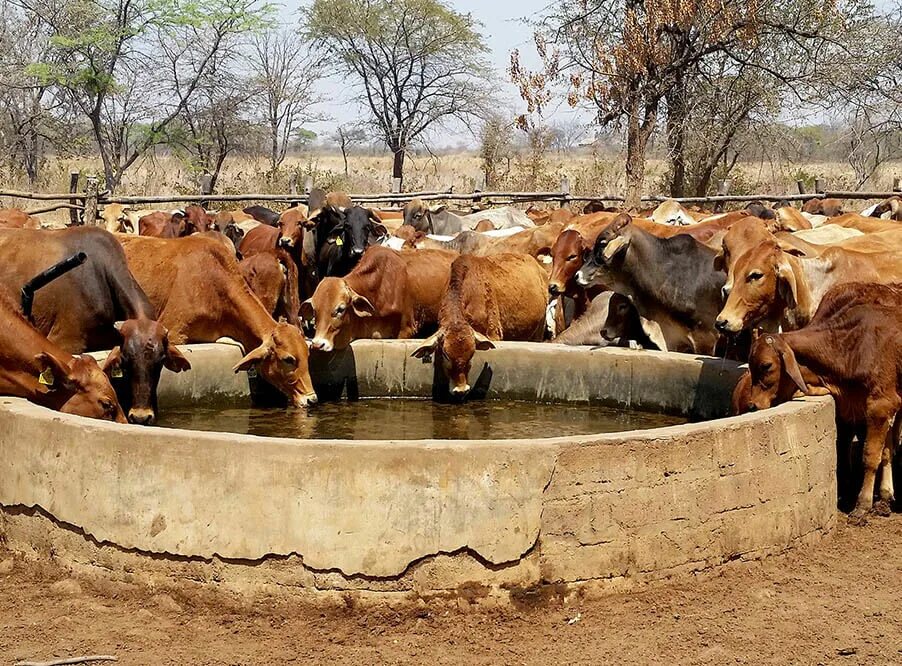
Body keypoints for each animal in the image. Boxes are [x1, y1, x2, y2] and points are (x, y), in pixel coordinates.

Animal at [744, 280, 902, 520]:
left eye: (766, 365)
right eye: (750, 366)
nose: (752, 405)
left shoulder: (881, 405)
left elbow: (870, 455)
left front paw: (863, 505)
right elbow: (884, 451)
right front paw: (883, 497)